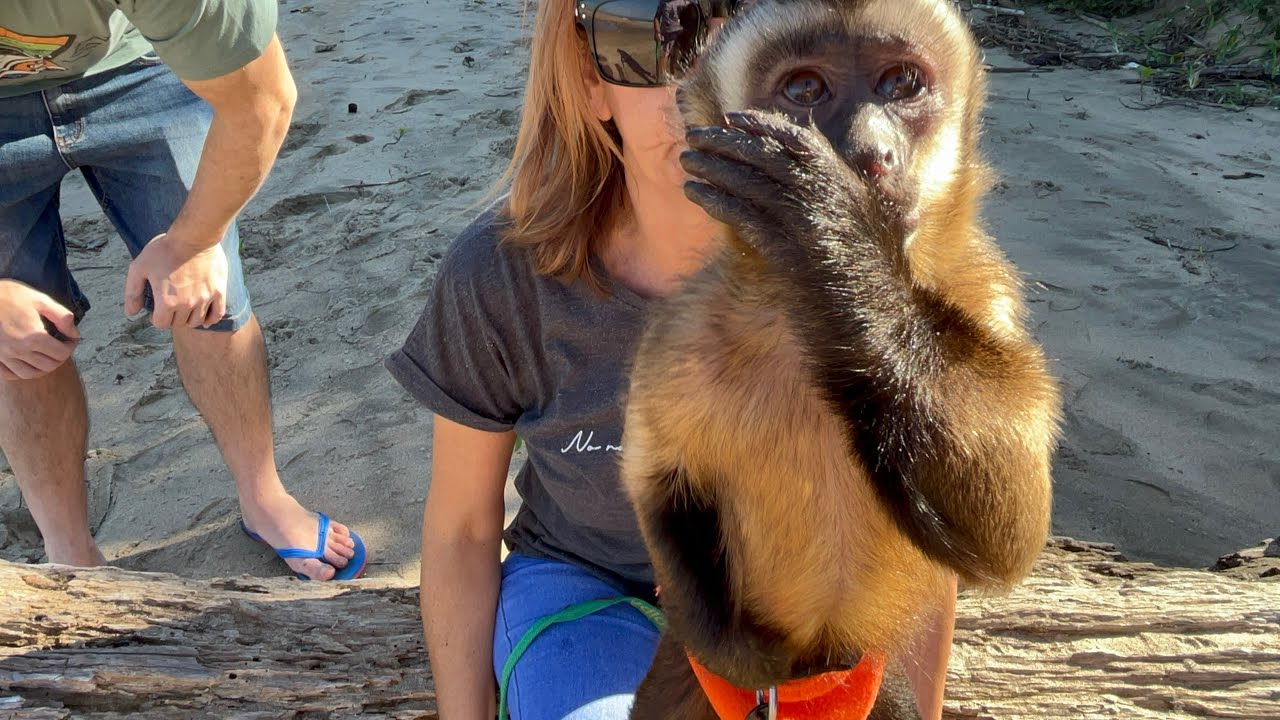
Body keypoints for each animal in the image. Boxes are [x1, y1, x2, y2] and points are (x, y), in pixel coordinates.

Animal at [618, 0, 1063, 718]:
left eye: (901, 82)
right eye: (805, 89)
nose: (870, 153)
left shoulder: (985, 293)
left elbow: (1012, 538)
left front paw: (831, 245)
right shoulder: (683, 329)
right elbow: (655, 480)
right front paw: (737, 652)